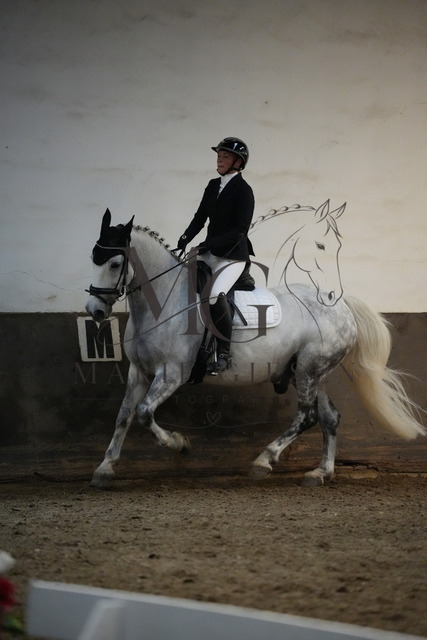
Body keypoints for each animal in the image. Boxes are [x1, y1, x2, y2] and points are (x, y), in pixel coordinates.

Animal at [85, 203, 425, 488]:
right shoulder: (138, 372)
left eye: (115, 263)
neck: (163, 301)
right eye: (93, 259)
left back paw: (264, 461)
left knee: (307, 417)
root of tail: (340, 304)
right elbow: (124, 415)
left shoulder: (170, 374)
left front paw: (180, 444)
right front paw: (105, 468)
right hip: (308, 372)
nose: (95, 311)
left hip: (309, 370)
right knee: (329, 418)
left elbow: (144, 414)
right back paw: (320, 472)